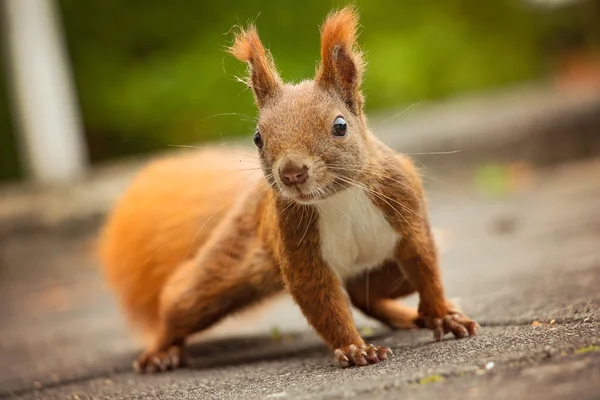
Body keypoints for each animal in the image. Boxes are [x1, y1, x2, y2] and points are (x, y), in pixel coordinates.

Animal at [98, 6, 478, 374]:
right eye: (257, 138)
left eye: (340, 126)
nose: (291, 172)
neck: (338, 197)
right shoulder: (296, 244)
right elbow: (322, 302)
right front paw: (354, 348)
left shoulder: (403, 205)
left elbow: (425, 265)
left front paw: (443, 315)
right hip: (222, 271)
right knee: (179, 306)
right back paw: (160, 352)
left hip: (388, 273)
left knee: (367, 294)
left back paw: (410, 316)